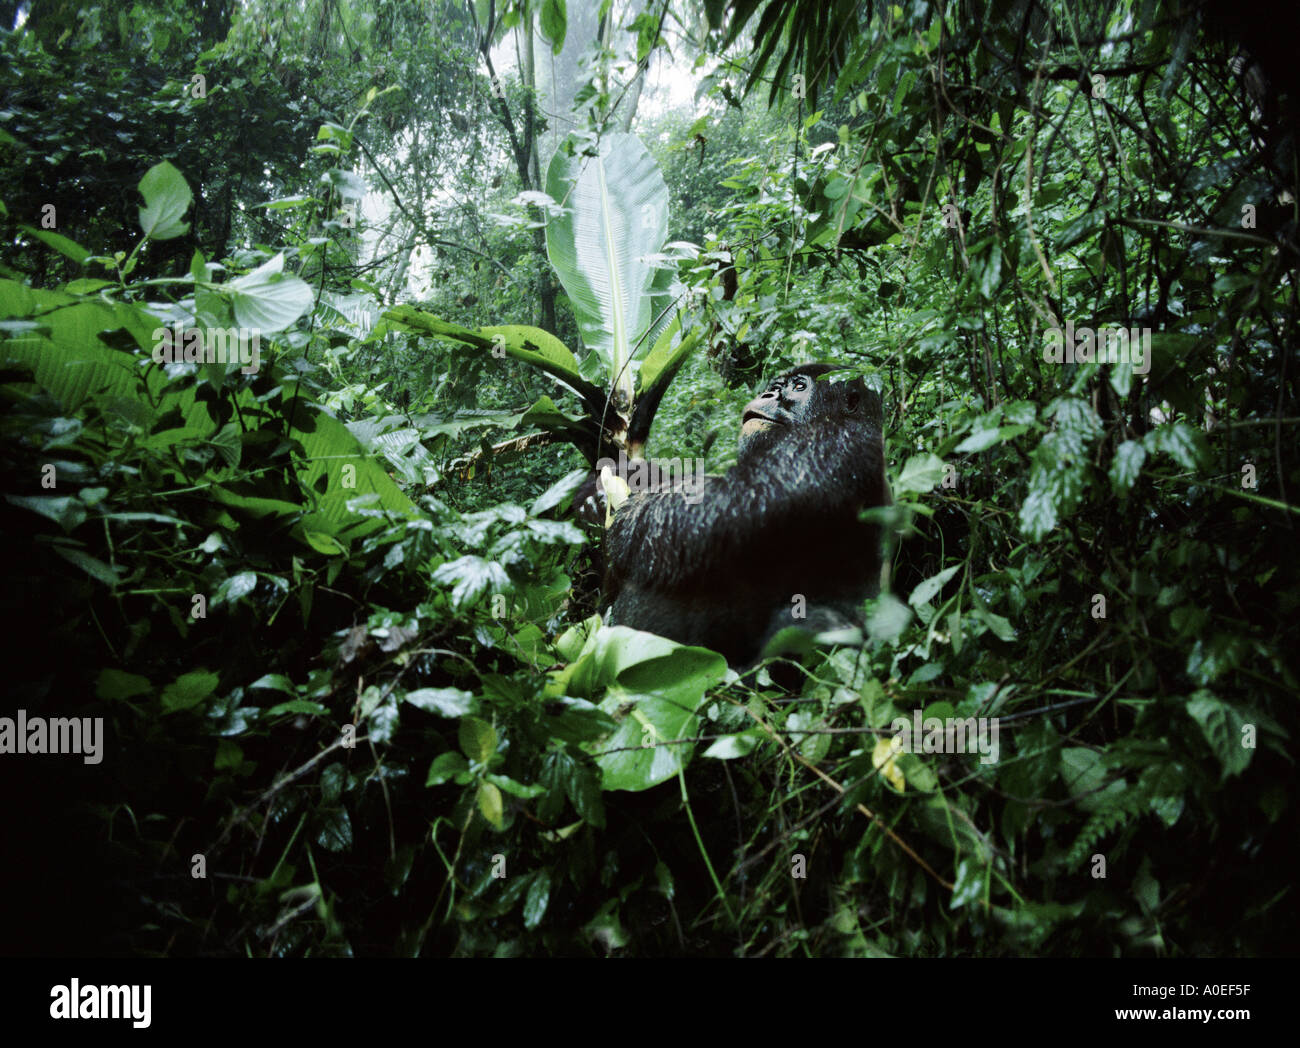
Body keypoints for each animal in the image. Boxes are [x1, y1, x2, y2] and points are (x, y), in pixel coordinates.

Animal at [604, 364, 889, 666]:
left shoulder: (834, 438)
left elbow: (735, 499)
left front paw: (628, 520)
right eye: (775, 386)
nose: (767, 394)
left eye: (799, 387)